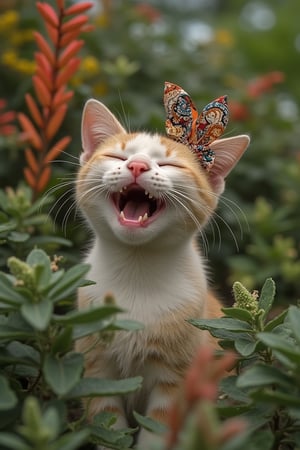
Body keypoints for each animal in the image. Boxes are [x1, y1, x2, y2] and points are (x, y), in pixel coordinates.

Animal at [75, 83, 251, 446]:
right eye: (117, 157)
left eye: (170, 165)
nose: (138, 166)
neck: (136, 269)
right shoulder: (97, 369)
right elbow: (107, 425)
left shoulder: (179, 380)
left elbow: (158, 431)